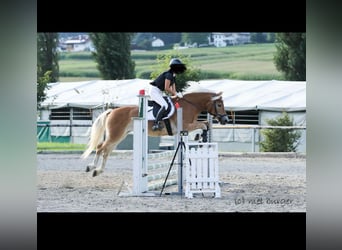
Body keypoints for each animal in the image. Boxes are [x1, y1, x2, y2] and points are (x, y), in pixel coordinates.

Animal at [81, 89, 228, 176]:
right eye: (219, 105)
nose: (225, 120)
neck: (190, 105)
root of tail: (112, 111)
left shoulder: (186, 127)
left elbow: (206, 124)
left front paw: (202, 137)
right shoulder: (185, 125)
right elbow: (203, 124)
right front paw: (201, 136)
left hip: (119, 136)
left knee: (106, 151)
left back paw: (98, 170)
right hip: (115, 135)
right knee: (100, 148)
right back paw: (91, 167)